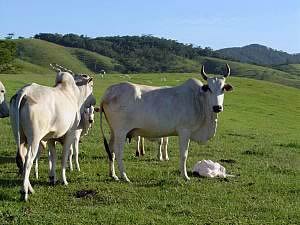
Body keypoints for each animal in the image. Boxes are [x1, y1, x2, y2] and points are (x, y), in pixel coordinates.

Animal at [10, 66, 95, 201]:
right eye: (91, 85)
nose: (94, 101)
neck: (73, 95)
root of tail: (24, 92)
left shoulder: (50, 138)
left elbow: (53, 156)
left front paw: (52, 178)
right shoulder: (70, 134)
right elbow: (65, 155)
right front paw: (64, 180)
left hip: (20, 136)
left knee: (22, 158)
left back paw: (30, 189)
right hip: (34, 138)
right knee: (28, 160)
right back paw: (24, 192)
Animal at [99, 63, 233, 181]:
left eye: (223, 88)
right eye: (209, 88)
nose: (217, 107)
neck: (198, 99)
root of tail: (108, 92)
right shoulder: (184, 131)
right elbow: (184, 154)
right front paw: (185, 176)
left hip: (113, 132)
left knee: (111, 150)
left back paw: (113, 175)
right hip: (121, 132)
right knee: (118, 152)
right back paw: (125, 177)